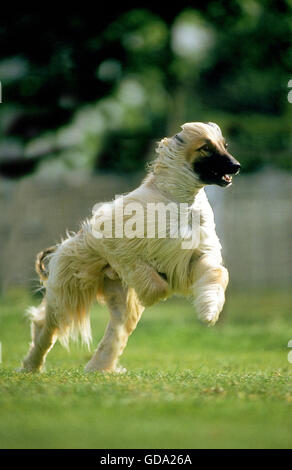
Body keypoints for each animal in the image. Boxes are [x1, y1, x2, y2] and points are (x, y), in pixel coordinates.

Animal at [20, 123, 240, 372]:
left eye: (224, 145)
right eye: (206, 148)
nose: (236, 166)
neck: (178, 201)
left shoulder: (196, 254)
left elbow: (217, 272)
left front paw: (209, 311)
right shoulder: (120, 245)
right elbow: (153, 281)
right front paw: (159, 290)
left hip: (118, 295)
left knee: (116, 329)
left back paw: (98, 367)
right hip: (72, 282)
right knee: (49, 322)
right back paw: (32, 364)